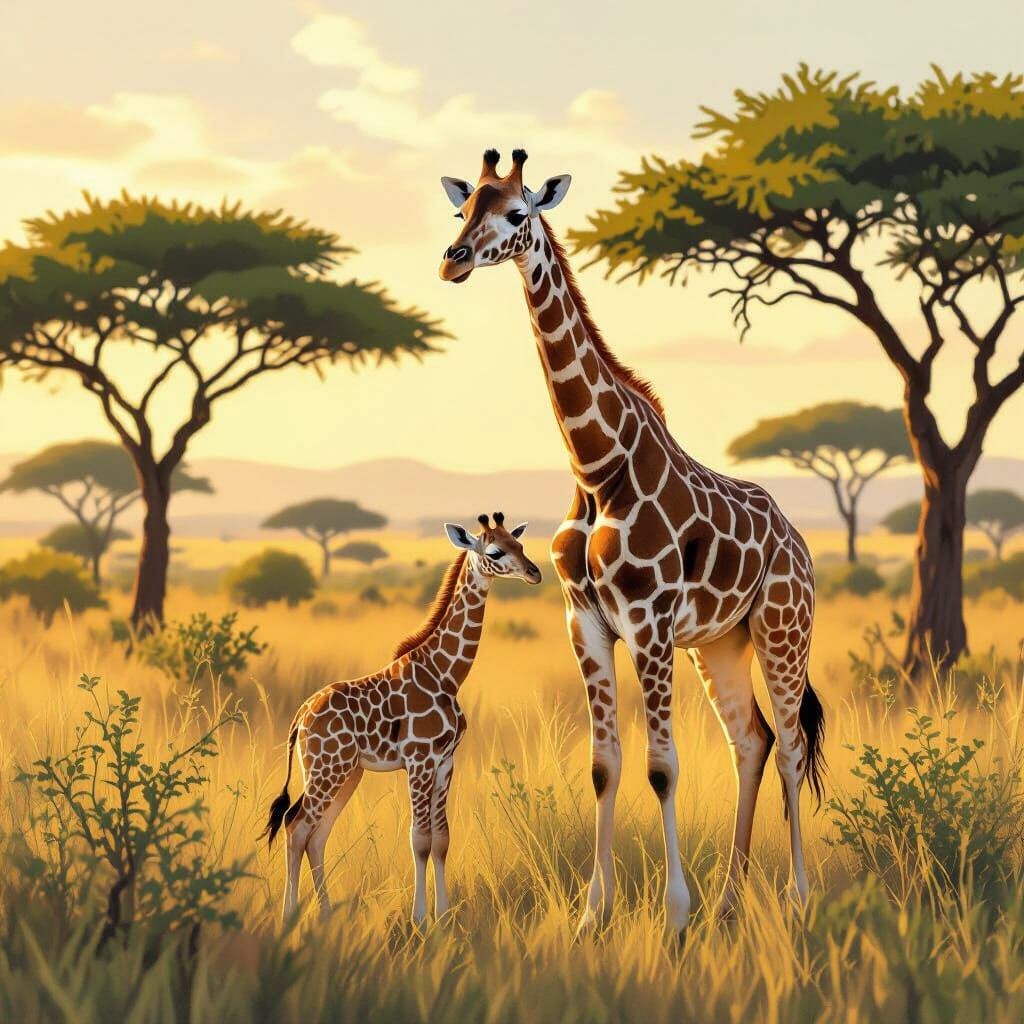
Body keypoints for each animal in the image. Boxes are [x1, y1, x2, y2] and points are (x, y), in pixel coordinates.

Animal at [261, 513, 541, 925]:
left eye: (519, 544)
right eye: (494, 551)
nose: (534, 572)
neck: (446, 673)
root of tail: (300, 715)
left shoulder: (445, 761)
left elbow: (442, 839)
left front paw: (444, 915)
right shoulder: (419, 760)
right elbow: (419, 840)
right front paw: (420, 918)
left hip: (348, 773)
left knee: (317, 833)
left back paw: (325, 915)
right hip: (326, 770)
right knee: (296, 826)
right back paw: (289, 917)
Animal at [438, 149, 825, 941]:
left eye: (516, 212)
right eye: (461, 210)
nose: (452, 261)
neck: (597, 466)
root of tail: (801, 545)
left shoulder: (647, 621)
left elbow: (662, 767)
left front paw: (674, 916)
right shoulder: (585, 620)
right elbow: (605, 765)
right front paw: (595, 916)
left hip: (782, 628)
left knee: (793, 746)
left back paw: (798, 900)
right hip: (721, 643)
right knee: (752, 742)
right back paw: (731, 905)